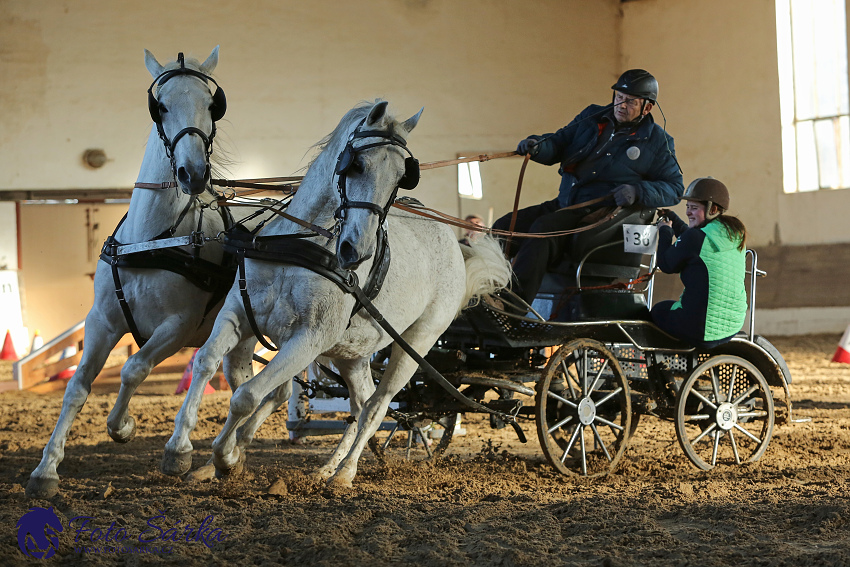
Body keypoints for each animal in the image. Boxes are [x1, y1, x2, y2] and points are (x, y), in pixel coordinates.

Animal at [25, 50, 272, 502]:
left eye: (212, 106)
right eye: (161, 106)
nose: (193, 173)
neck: (152, 239)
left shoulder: (178, 326)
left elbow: (133, 368)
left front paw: (123, 427)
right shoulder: (101, 322)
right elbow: (77, 387)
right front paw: (46, 469)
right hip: (241, 343)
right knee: (251, 384)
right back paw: (225, 460)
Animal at [166, 101, 510, 488]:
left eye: (400, 177)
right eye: (356, 164)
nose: (356, 250)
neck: (299, 245)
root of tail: (454, 242)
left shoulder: (310, 340)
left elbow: (247, 395)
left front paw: (225, 458)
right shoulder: (238, 315)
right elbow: (205, 361)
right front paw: (179, 451)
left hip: (416, 344)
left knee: (378, 406)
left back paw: (345, 474)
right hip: (353, 353)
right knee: (360, 406)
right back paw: (328, 468)